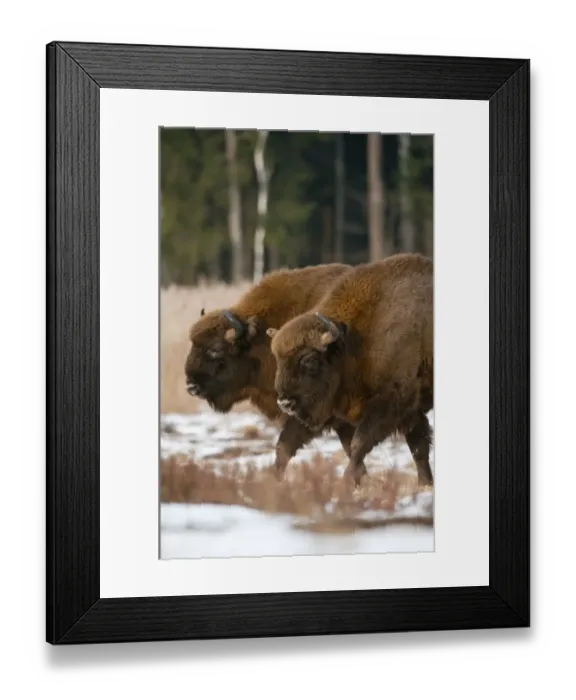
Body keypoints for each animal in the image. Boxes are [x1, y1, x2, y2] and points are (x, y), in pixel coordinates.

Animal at [267, 253, 434, 489]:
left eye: (309, 360)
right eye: (278, 360)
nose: (285, 403)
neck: (351, 343)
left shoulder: (392, 403)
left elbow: (359, 444)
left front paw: (344, 484)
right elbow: (285, 445)